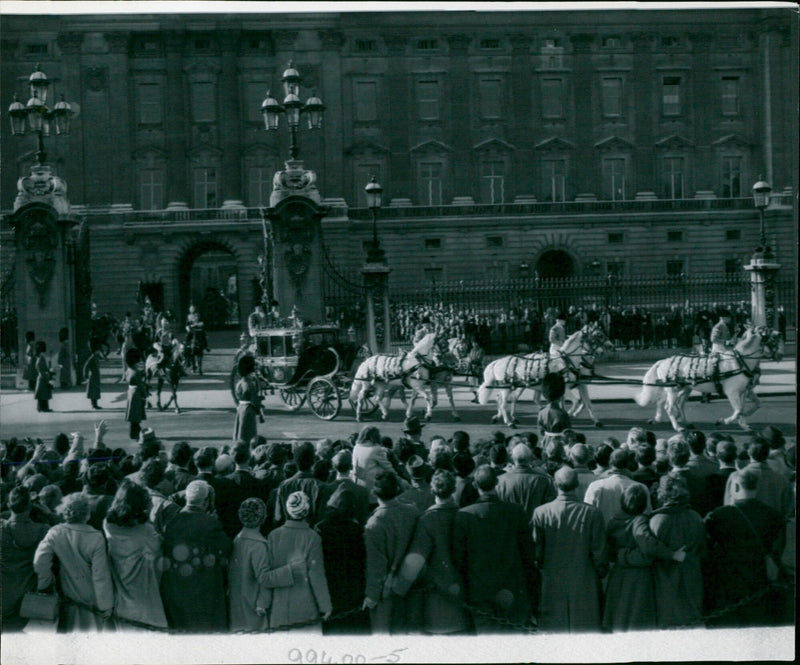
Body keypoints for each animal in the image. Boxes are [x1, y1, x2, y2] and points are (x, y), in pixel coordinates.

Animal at [476, 328, 608, 430]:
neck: (566, 360)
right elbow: (576, 401)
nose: (603, 351)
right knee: (504, 402)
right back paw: (509, 422)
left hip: (513, 386)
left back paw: (501, 417)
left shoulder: (580, 384)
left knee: (503, 399)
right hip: (508, 387)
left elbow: (587, 402)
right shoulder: (566, 388)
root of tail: (498, 361)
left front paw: (596, 421)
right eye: (596, 337)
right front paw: (569, 414)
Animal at [636, 326, 784, 430]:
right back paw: (677, 427)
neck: (739, 361)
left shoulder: (743, 391)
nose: (780, 356)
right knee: (668, 406)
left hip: (684, 388)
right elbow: (737, 410)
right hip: (673, 389)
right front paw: (723, 421)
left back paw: (678, 421)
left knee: (675, 403)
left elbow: (749, 406)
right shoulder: (732, 392)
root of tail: (663, 361)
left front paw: (744, 423)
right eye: (773, 338)